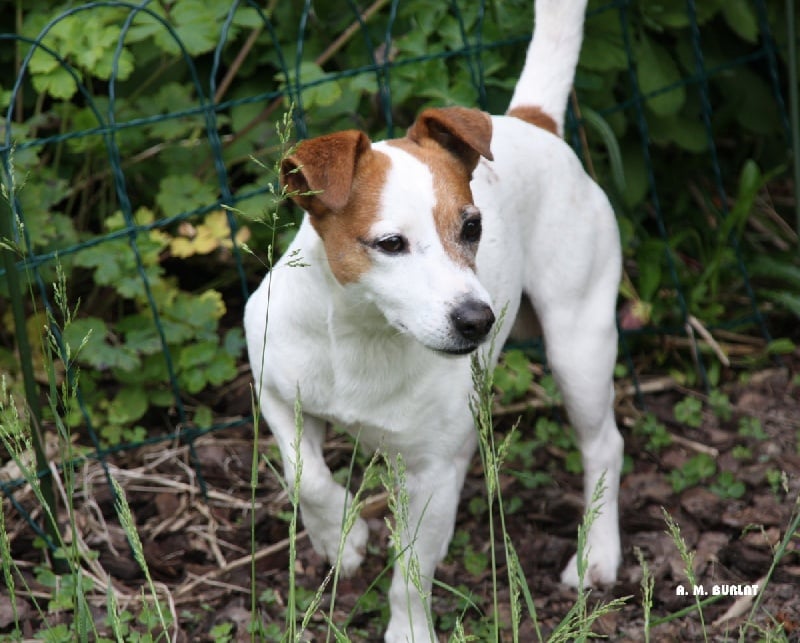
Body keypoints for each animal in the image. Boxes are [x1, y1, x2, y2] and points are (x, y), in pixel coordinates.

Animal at [244, 1, 623, 639]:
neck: (365, 337)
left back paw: (596, 554)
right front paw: (340, 538)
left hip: (580, 346)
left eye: (472, 226)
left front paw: (408, 628)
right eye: (390, 244)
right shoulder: (276, 392)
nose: (478, 320)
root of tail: (532, 121)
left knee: (605, 445)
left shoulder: (435, 471)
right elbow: (305, 477)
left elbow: (413, 573)